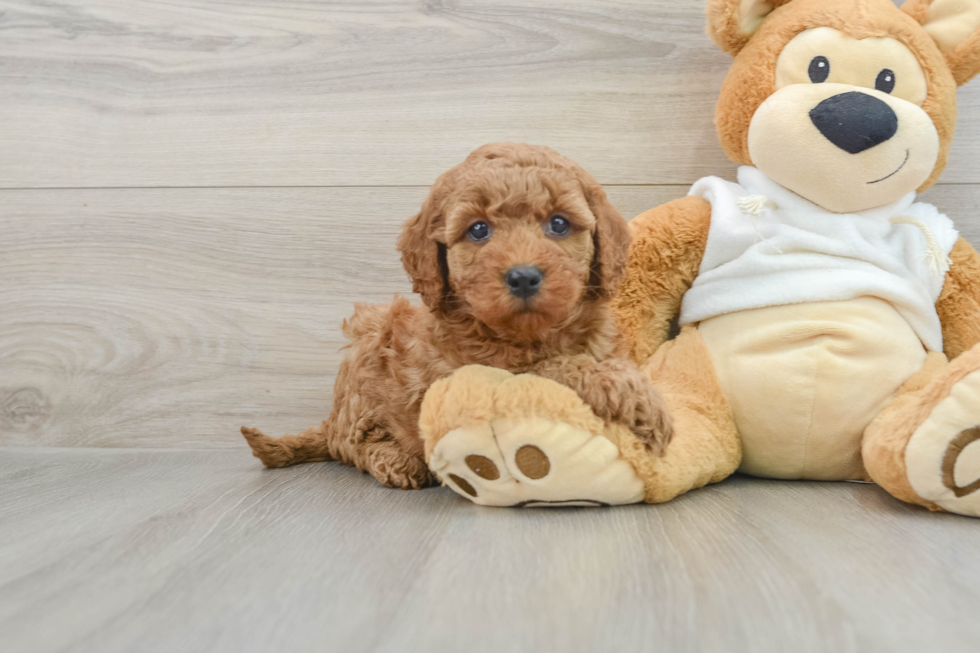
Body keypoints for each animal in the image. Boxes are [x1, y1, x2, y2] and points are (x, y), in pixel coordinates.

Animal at [243, 144, 672, 488]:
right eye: (478, 230)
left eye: (559, 223)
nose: (523, 276)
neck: (531, 335)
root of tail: (330, 417)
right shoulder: (474, 376)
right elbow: (551, 368)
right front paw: (636, 398)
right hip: (368, 344)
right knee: (350, 443)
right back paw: (397, 460)